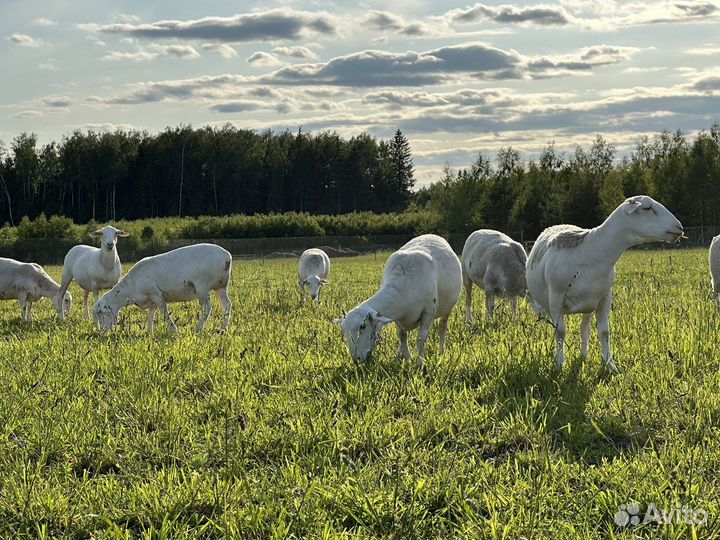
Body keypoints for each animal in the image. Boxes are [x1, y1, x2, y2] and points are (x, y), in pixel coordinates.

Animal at [92, 243, 232, 333]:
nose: (101, 331)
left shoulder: (156, 294)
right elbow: (150, 315)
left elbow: (164, 312)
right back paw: (223, 328)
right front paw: (149, 332)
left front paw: (173, 330)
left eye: (101, 313)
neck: (129, 290)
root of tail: (226, 256)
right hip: (221, 286)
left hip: (202, 285)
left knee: (206, 307)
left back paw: (199, 329)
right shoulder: (150, 299)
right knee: (227, 305)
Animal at [334, 234, 462, 364]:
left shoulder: (428, 311)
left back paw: (441, 353)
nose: (357, 360)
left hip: (447, 309)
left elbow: (421, 339)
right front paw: (407, 359)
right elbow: (401, 336)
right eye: (343, 330)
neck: (400, 289)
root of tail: (432, 235)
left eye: (363, 326)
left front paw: (419, 363)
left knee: (442, 328)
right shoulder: (397, 317)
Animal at [526, 195, 683, 373]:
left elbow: (604, 332)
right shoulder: (556, 298)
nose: (679, 227)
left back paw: (583, 355)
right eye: (647, 208)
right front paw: (559, 365)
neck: (591, 253)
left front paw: (610, 365)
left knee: (584, 328)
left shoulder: (605, 297)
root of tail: (558, 224)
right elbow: (560, 332)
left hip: (588, 304)